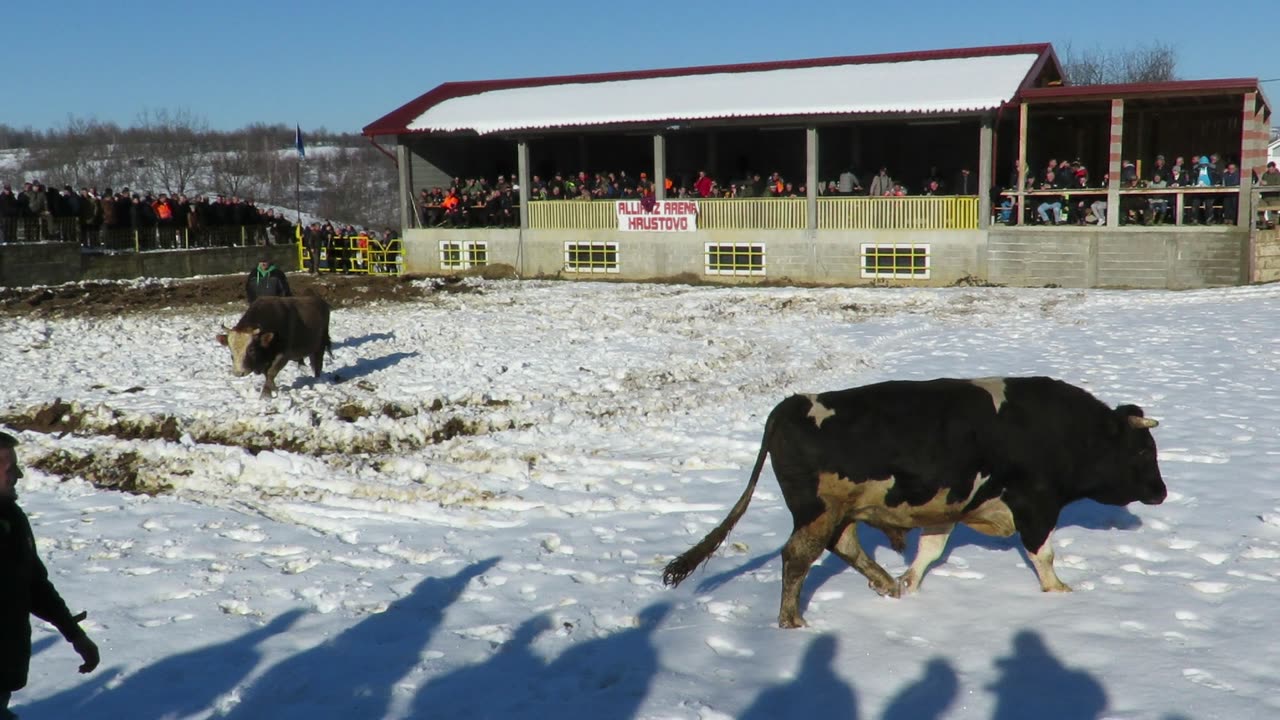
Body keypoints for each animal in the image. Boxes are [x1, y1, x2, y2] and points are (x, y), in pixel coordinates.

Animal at [665, 379, 1167, 625]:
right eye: (1143, 450)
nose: (1161, 492)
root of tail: (791, 405)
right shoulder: (1035, 503)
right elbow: (1043, 553)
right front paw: (1059, 591)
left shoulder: (947, 507)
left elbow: (930, 550)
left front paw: (909, 581)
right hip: (818, 511)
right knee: (798, 556)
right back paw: (791, 620)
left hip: (836, 512)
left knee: (844, 546)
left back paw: (887, 584)